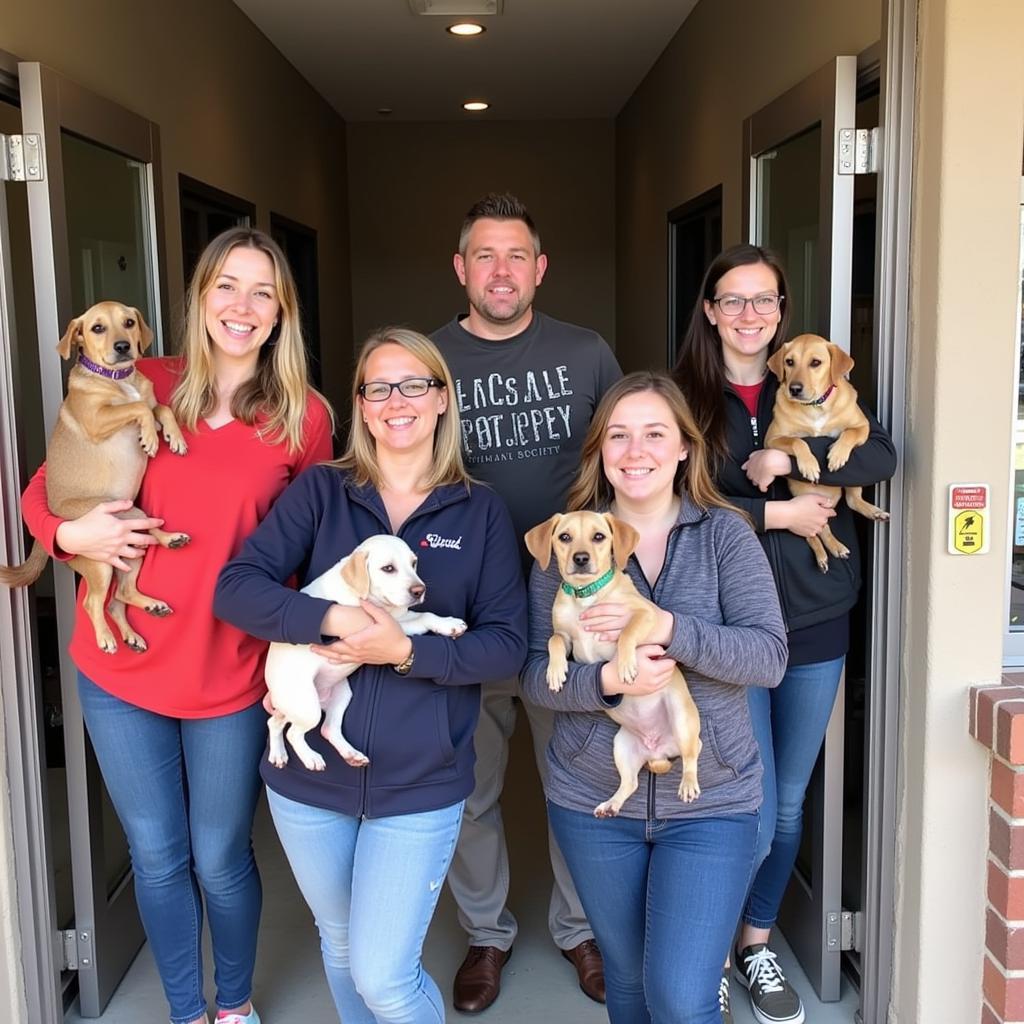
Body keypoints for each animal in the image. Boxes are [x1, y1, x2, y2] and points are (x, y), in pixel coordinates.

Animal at [0, 303, 190, 651]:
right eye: (97, 328)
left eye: (128, 322)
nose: (123, 347)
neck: (120, 378)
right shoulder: (98, 419)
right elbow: (140, 408)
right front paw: (151, 438)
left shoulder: (149, 403)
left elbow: (160, 408)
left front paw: (174, 437)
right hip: (104, 550)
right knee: (94, 602)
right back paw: (106, 637)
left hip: (133, 531)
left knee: (121, 595)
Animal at [266, 536, 468, 770]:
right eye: (388, 569)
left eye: (414, 563)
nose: (419, 590)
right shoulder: (383, 624)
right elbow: (423, 617)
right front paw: (449, 625)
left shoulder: (397, 616)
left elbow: (424, 613)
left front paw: (449, 623)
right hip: (307, 706)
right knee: (293, 732)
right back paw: (310, 757)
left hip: (339, 695)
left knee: (312, 727)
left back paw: (342, 754)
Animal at [524, 509, 700, 815]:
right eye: (564, 537)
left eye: (599, 536)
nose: (581, 558)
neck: (586, 595)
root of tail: (660, 750)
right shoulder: (565, 636)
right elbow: (553, 641)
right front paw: (555, 671)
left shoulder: (647, 615)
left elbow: (627, 632)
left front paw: (626, 665)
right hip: (621, 746)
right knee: (631, 783)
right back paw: (611, 804)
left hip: (683, 720)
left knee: (694, 753)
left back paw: (688, 783)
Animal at [765, 337, 884, 573]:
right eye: (789, 362)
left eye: (815, 363)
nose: (794, 389)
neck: (814, 407)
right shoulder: (772, 440)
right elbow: (798, 440)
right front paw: (809, 465)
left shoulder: (862, 426)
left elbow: (849, 433)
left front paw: (837, 455)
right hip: (805, 504)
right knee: (816, 531)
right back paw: (825, 553)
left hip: (851, 482)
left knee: (851, 501)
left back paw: (871, 514)